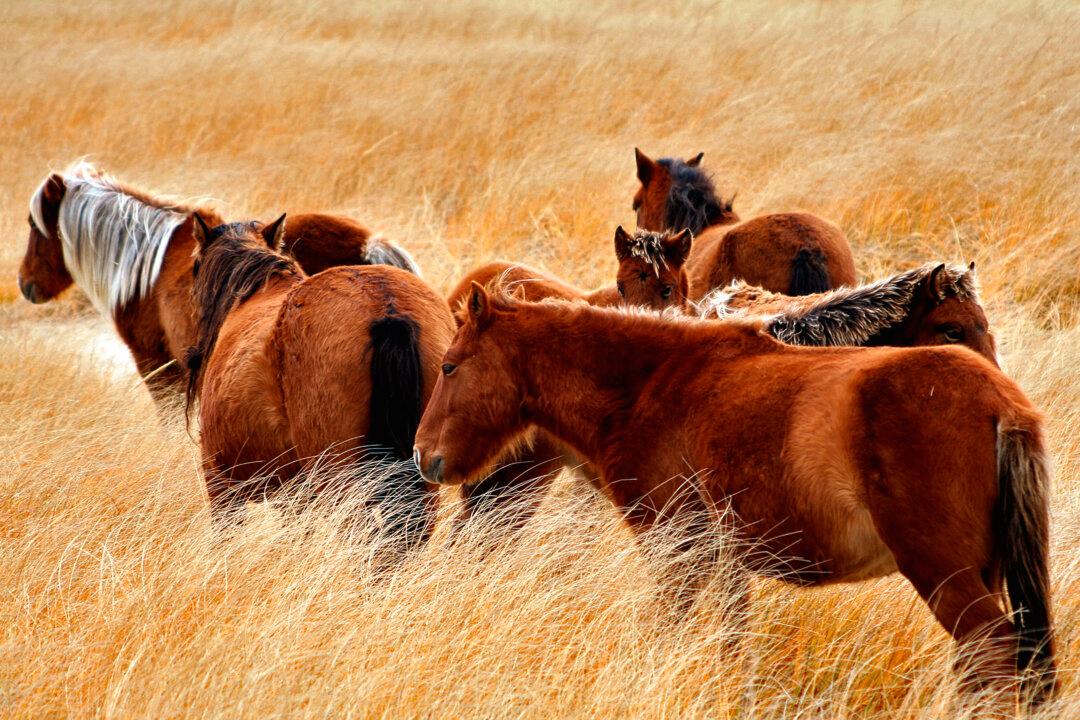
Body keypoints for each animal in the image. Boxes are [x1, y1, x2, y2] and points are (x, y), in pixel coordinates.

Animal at [414, 284, 1057, 707]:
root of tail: (1001, 402)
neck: (651, 384)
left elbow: (666, 634)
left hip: (945, 577)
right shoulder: (724, 566)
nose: (424, 456)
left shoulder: (675, 555)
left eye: (450, 366)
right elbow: (731, 646)